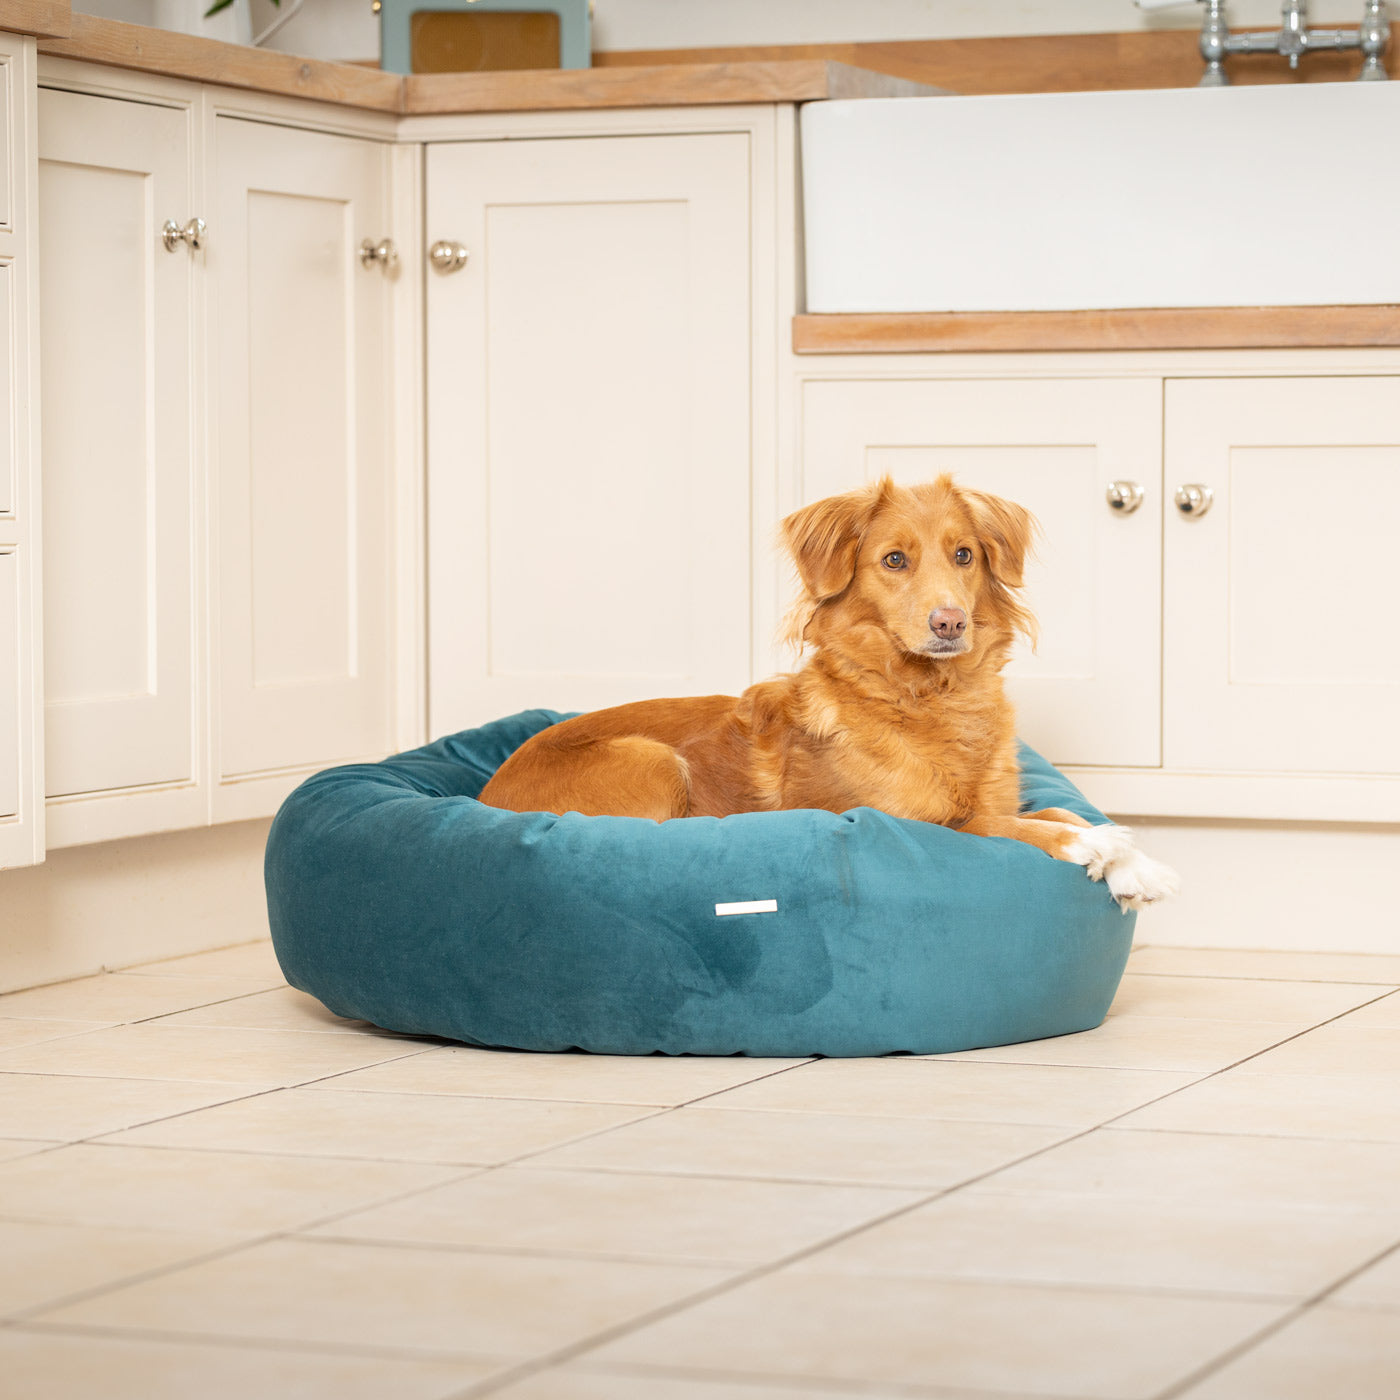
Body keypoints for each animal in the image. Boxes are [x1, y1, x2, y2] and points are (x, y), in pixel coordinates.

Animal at [481, 473, 1181, 907]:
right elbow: (998, 826)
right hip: (653, 760)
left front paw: (1137, 865)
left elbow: (1053, 811)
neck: (929, 698)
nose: (950, 622)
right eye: (894, 560)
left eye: (964, 555)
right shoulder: (908, 823)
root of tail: (485, 792)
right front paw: (1098, 845)